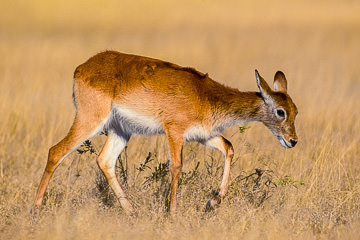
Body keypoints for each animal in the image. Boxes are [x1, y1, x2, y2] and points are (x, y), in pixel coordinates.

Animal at [33, 50, 298, 216]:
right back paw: (35, 210)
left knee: (104, 160)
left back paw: (132, 212)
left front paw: (211, 202)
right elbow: (177, 167)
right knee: (55, 151)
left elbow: (229, 148)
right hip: (90, 121)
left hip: (120, 130)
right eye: (280, 111)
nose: (293, 141)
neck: (205, 96)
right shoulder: (175, 131)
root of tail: (82, 68)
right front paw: (172, 214)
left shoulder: (203, 135)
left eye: (296, 111)